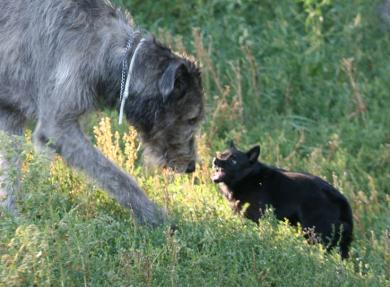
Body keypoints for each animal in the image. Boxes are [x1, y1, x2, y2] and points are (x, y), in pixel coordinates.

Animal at [0, 0, 206, 227]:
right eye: (192, 118)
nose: (191, 167)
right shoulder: (57, 127)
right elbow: (114, 174)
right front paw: (154, 217)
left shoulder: (11, 115)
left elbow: (11, 169)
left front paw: (15, 214)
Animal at [213, 143, 354, 258]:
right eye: (221, 154)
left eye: (233, 160)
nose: (215, 160)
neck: (249, 178)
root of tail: (342, 199)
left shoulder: (255, 217)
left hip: (316, 235)